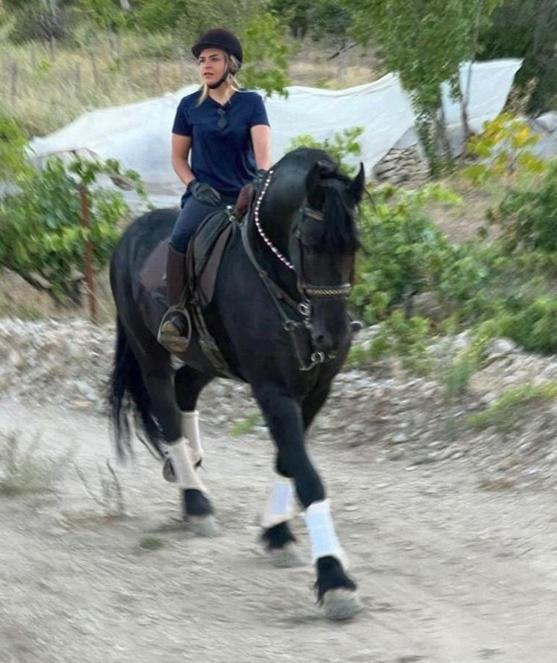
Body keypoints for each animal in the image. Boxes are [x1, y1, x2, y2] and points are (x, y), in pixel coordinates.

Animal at [109, 148, 364, 620]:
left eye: (353, 245)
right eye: (308, 242)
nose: (333, 337)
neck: (279, 284)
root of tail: (130, 232)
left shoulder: (316, 390)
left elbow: (288, 461)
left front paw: (278, 534)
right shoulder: (272, 390)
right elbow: (307, 475)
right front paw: (334, 579)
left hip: (207, 359)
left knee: (184, 389)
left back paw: (187, 467)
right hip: (148, 350)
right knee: (165, 407)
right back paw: (195, 502)